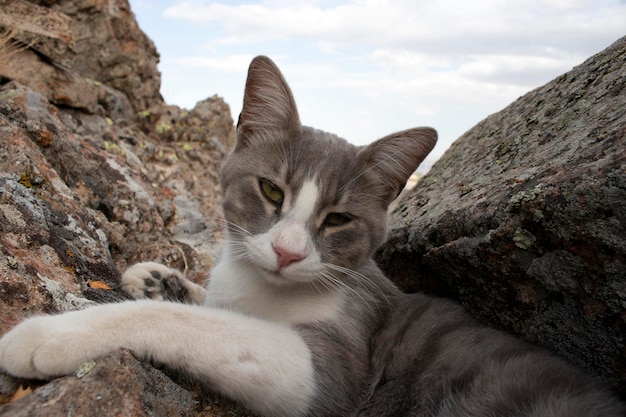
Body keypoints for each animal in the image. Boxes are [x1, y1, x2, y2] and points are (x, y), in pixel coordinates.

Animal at [1, 56, 624, 416]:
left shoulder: (333, 369)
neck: (265, 287)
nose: (286, 251)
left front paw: (50, 335)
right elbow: (212, 305)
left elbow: (207, 327)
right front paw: (158, 277)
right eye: (271, 191)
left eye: (338, 220)